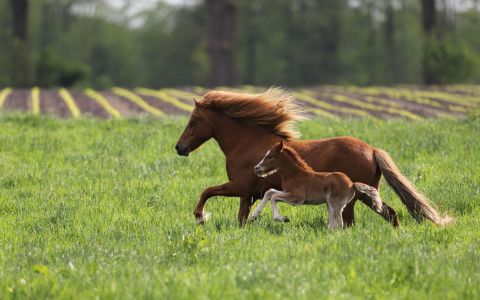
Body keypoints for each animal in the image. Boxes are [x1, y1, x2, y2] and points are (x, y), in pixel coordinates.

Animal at [251, 139, 382, 229]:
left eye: (270, 157)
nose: (257, 168)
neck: (294, 174)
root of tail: (352, 184)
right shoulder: (287, 192)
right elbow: (269, 192)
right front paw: (254, 215)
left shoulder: (297, 198)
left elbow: (273, 197)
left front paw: (282, 218)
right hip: (331, 204)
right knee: (335, 224)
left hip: (335, 204)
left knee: (338, 224)